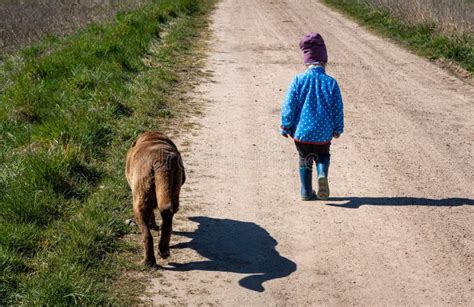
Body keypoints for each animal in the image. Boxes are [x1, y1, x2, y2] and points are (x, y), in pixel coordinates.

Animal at [126, 131, 185, 266]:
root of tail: (160, 162)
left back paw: (148, 261)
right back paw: (163, 250)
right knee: (167, 223)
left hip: (139, 202)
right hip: (173, 192)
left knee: (147, 235)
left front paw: (152, 224)